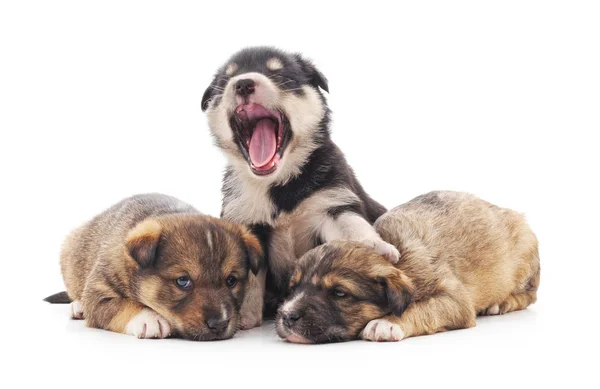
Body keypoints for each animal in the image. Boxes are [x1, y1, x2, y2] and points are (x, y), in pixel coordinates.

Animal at [43, 192, 264, 338]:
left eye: (231, 280)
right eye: (183, 281)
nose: (219, 324)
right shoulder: (98, 294)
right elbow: (121, 305)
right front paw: (148, 318)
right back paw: (77, 307)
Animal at [202, 47, 398, 328]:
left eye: (280, 75)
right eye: (225, 80)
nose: (242, 83)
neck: (279, 183)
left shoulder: (332, 203)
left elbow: (352, 226)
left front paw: (374, 246)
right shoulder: (247, 221)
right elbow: (249, 274)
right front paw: (244, 316)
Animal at [276, 191, 540, 342]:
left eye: (339, 293)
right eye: (293, 287)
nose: (287, 316)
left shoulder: (454, 300)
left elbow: (422, 308)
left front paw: (387, 323)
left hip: (526, 254)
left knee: (529, 295)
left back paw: (500, 303)